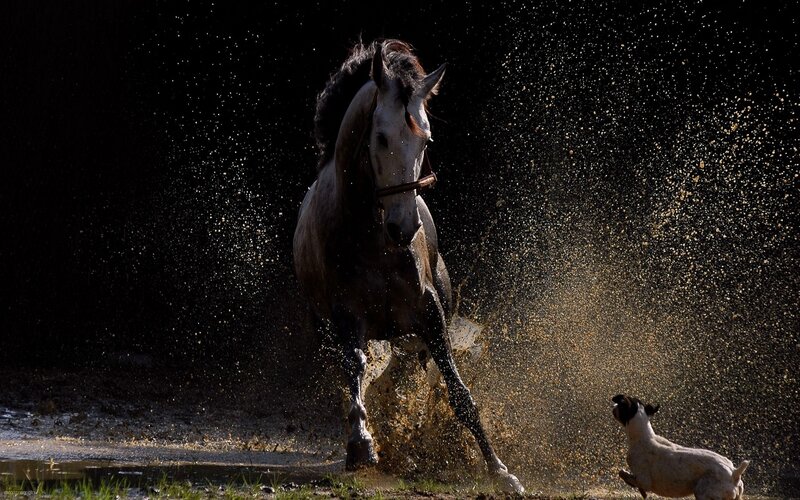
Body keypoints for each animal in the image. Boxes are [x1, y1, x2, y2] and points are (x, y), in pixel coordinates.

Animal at [293, 39, 523, 493]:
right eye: (380, 137)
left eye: (426, 140)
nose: (404, 226)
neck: (373, 236)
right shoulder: (347, 315)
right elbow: (355, 368)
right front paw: (361, 445)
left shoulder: (430, 312)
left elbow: (458, 391)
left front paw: (500, 470)